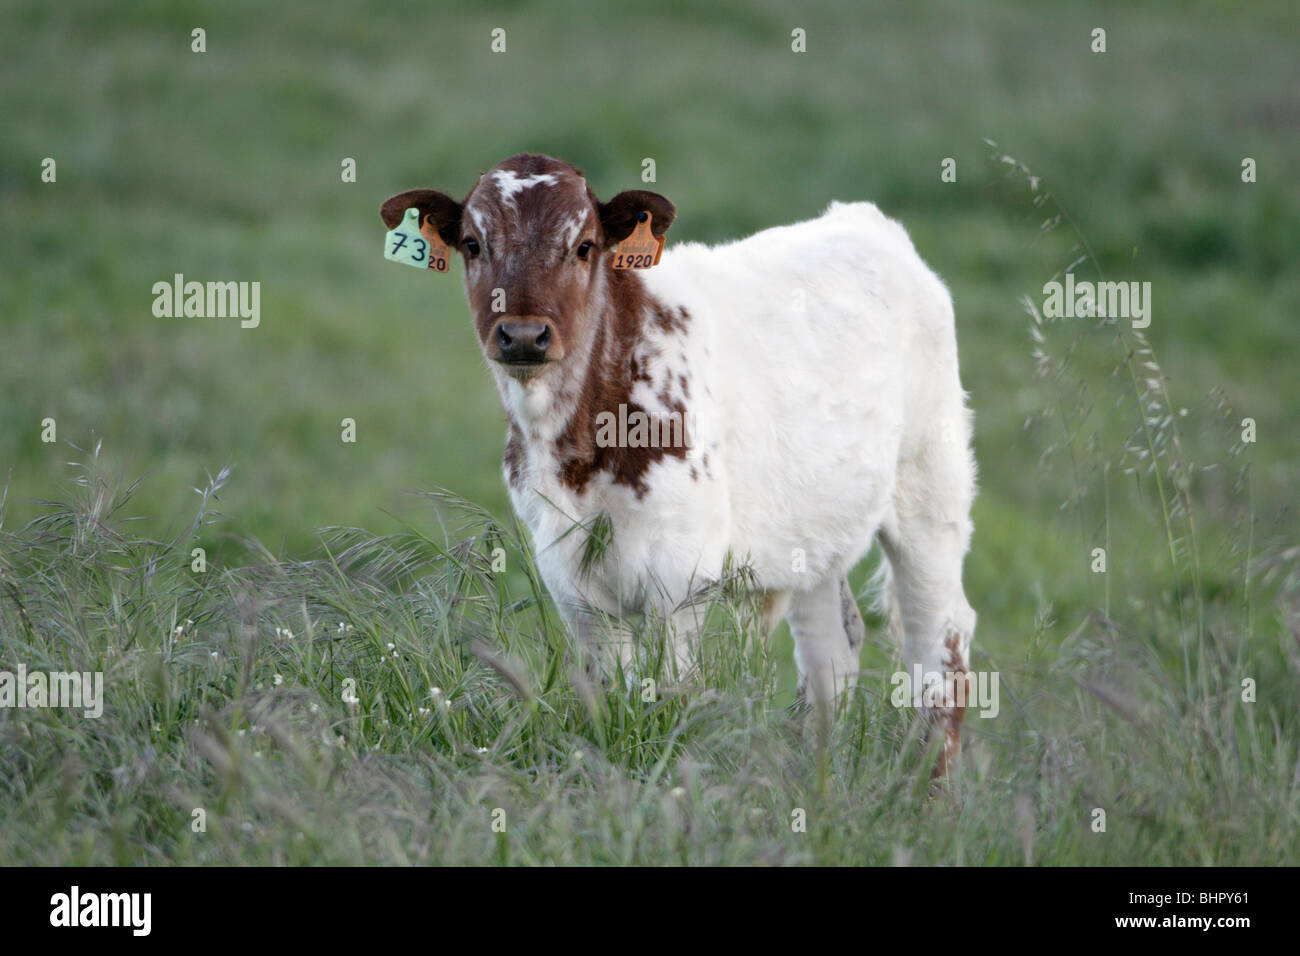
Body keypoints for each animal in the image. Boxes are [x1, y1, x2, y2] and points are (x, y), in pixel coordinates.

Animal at [379, 153, 977, 775]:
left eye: (585, 246)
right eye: (473, 244)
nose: (523, 334)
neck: (579, 447)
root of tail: (864, 220)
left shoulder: (681, 578)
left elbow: (669, 696)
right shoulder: (571, 580)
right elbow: (609, 699)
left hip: (931, 487)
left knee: (941, 645)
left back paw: (929, 788)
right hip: (814, 522)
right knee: (832, 647)